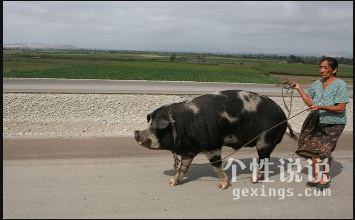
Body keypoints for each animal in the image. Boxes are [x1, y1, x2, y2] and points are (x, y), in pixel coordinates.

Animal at [134, 90, 298, 189]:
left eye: (156, 127)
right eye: (149, 124)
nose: (136, 132)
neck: (182, 126)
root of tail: (283, 116)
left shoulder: (212, 145)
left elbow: (216, 166)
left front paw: (223, 186)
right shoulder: (189, 151)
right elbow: (183, 167)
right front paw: (172, 183)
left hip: (265, 139)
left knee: (262, 159)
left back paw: (254, 179)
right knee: (265, 160)